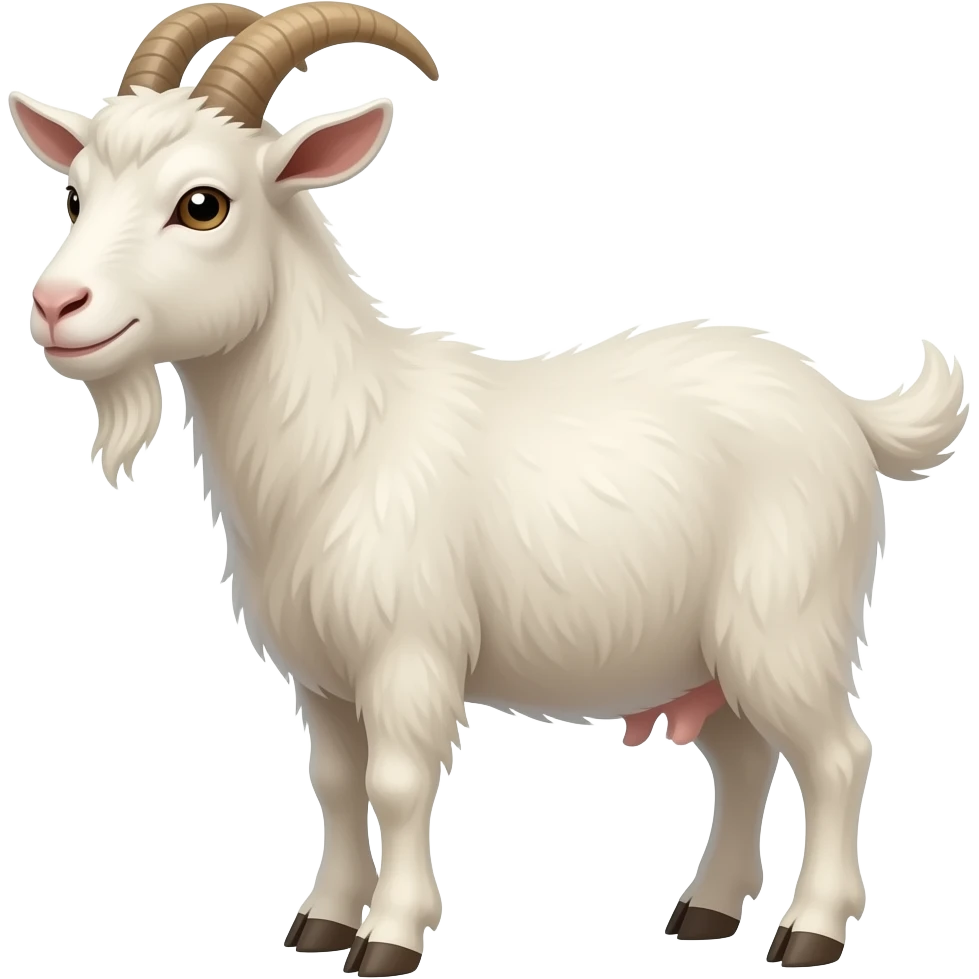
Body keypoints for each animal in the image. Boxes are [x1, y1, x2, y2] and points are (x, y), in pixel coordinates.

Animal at [8, 3, 969, 974]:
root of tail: (845, 409)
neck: (346, 433)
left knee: (837, 754)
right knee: (743, 758)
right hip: (711, 648)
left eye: (202, 205)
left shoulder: (408, 651)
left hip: (785, 621)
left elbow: (395, 783)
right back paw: (705, 909)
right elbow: (335, 780)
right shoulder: (319, 675)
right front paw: (322, 921)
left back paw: (810, 927)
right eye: (74, 194)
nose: (56, 305)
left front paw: (389, 936)